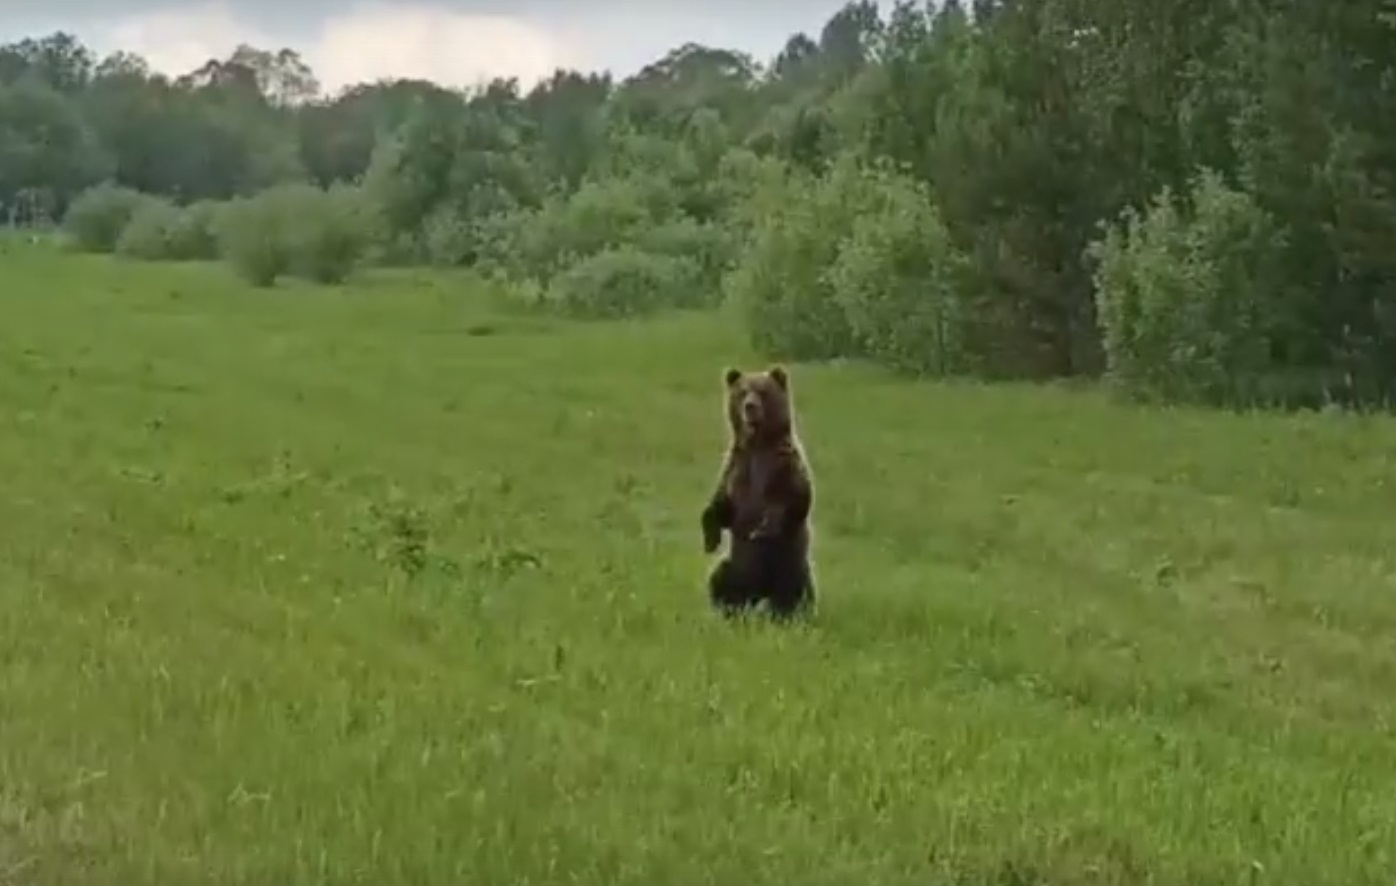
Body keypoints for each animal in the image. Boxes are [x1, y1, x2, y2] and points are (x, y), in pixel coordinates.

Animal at [698, 362, 815, 619]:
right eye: (742, 392)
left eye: (763, 391)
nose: (749, 407)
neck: (758, 444)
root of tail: (759, 595)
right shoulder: (736, 466)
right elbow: (722, 505)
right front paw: (710, 540)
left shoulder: (785, 463)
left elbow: (795, 499)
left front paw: (762, 528)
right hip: (736, 568)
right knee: (720, 577)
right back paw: (728, 611)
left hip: (789, 566)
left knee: (796, 592)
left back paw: (788, 615)